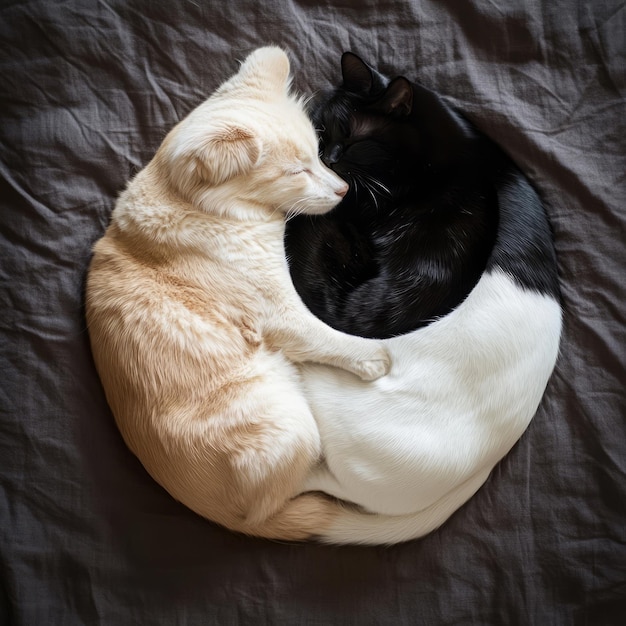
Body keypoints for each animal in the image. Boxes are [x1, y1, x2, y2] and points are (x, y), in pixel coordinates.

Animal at [86, 46, 390, 540]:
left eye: (318, 154)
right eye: (296, 171)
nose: (344, 190)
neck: (196, 204)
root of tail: (222, 515)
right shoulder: (278, 313)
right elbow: (324, 336)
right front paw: (371, 357)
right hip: (294, 425)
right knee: (305, 483)